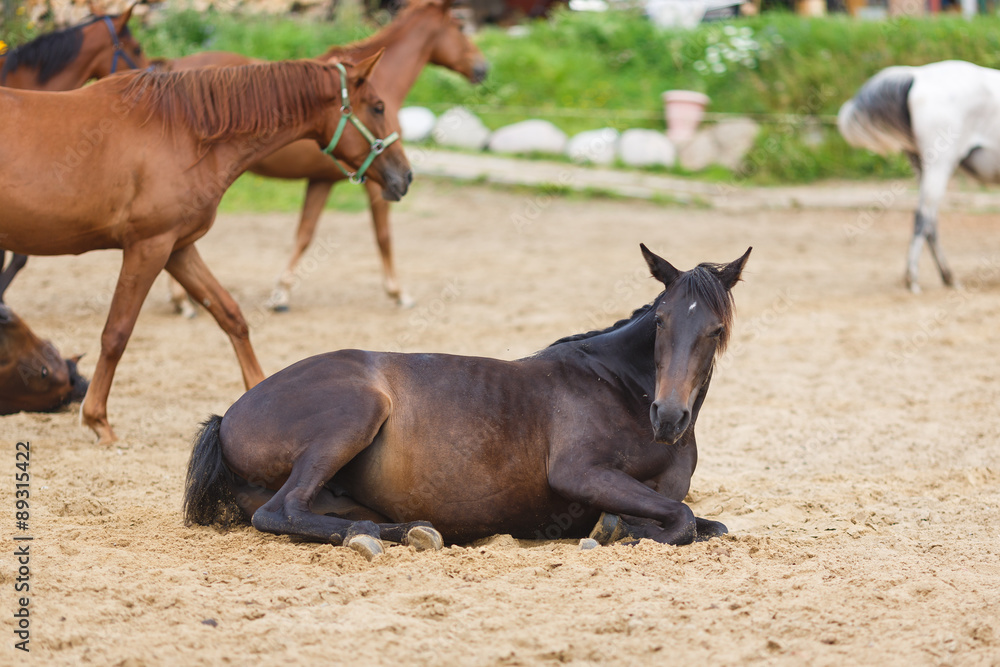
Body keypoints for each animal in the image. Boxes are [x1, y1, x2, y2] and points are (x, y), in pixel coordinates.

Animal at [162, 0, 489, 315]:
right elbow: (383, 235)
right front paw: (398, 293)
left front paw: (281, 293)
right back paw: (181, 300)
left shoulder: (321, 180)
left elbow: (304, 234)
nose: (483, 67)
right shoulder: (376, 181)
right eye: (461, 27)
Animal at [183, 244, 751, 559]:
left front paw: (615, 526)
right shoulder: (580, 472)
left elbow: (707, 523)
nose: (669, 417)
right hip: (355, 413)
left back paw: (410, 530)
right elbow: (680, 520)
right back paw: (371, 536)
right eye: (661, 322)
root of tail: (228, 417)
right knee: (282, 511)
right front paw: (612, 532)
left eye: (716, 330)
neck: (621, 389)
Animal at [838, 60, 1000, 293]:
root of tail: (917, 75)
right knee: (922, 217)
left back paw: (947, 277)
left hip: (921, 163)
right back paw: (913, 279)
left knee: (930, 221)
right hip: (940, 163)